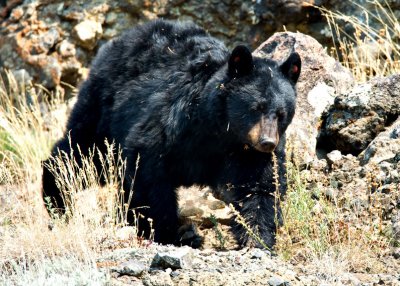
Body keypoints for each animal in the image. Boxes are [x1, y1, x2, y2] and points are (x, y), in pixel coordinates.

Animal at [43, 19, 300, 248]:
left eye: (281, 113)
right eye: (256, 107)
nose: (267, 142)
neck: (218, 128)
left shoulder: (246, 152)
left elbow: (260, 185)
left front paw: (257, 238)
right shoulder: (174, 125)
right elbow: (148, 170)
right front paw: (171, 232)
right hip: (103, 106)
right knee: (81, 153)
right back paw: (56, 196)